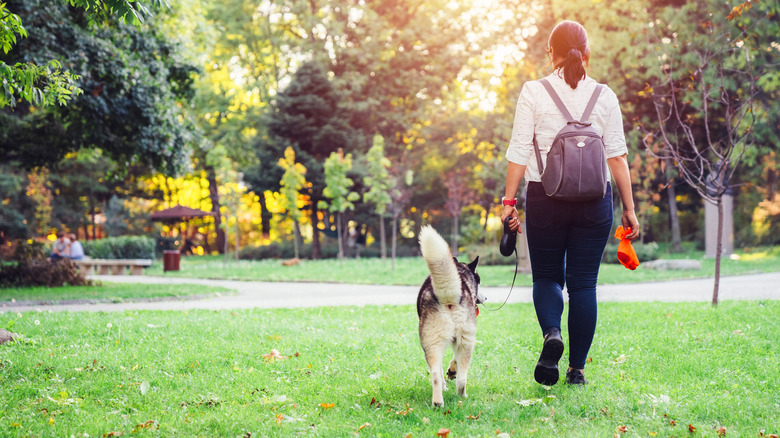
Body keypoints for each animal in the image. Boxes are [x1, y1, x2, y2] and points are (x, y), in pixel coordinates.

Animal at [418, 226, 484, 408]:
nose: (486, 298)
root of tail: (449, 296)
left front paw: (450, 373)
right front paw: (451, 372)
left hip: (434, 343)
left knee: (438, 374)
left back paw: (442, 400)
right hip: (460, 341)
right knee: (459, 378)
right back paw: (455, 398)